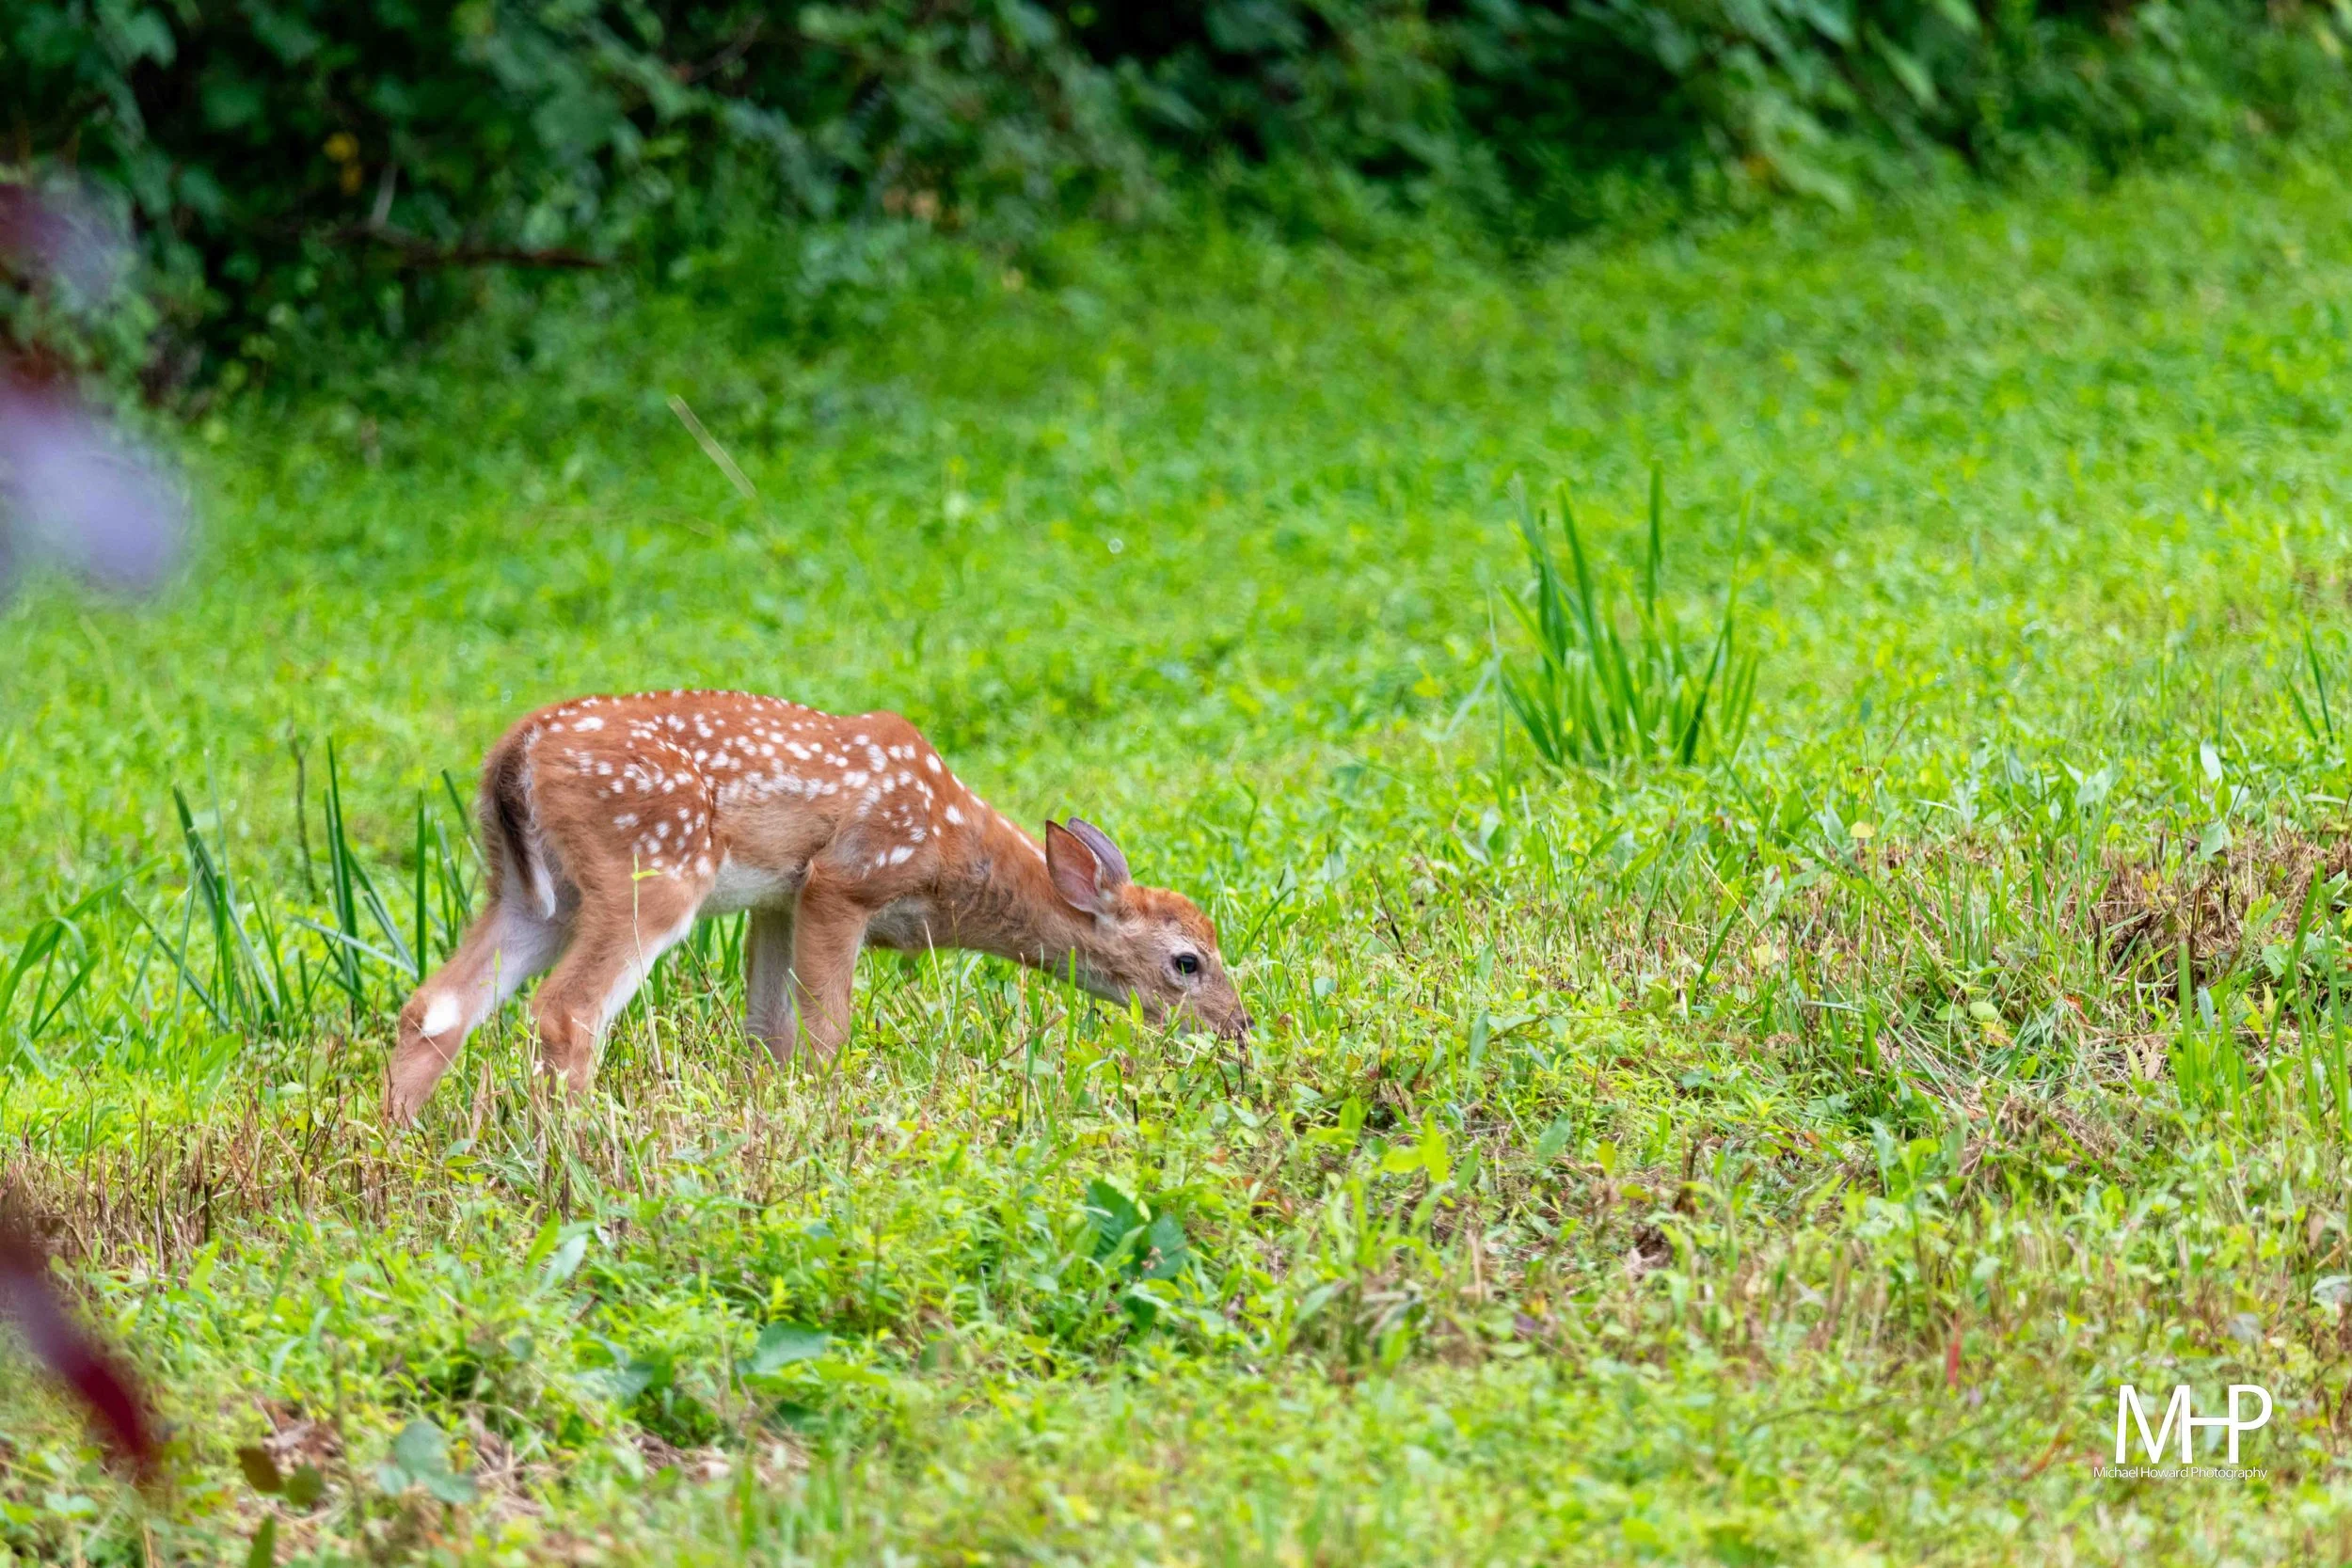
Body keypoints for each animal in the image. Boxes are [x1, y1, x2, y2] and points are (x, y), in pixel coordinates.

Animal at [386, 690, 1250, 1123]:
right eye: (1187, 961)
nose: (1240, 1028)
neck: (954, 853)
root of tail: (515, 753)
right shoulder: (846, 878)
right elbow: (826, 1033)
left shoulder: (776, 899)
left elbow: (768, 1034)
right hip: (652, 865)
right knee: (569, 1011)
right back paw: (576, 1146)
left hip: (532, 893)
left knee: (435, 1005)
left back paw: (397, 1141)